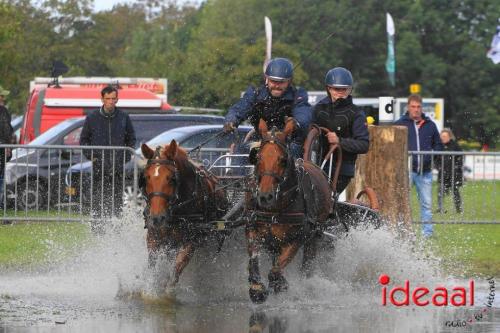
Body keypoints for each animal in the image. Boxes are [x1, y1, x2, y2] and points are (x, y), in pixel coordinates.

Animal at [140, 139, 228, 288]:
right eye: (146, 178)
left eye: (171, 178)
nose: (157, 218)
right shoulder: (153, 238)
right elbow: (151, 270)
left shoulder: (191, 242)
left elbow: (175, 272)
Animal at [245, 118, 334, 302]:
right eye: (258, 157)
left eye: (283, 159)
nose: (265, 196)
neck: (274, 209)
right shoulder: (252, 228)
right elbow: (254, 259)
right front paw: (257, 288)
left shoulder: (296, 238)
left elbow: (276, 270)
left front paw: (280, 284)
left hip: (313, 236)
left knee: (307, 263)